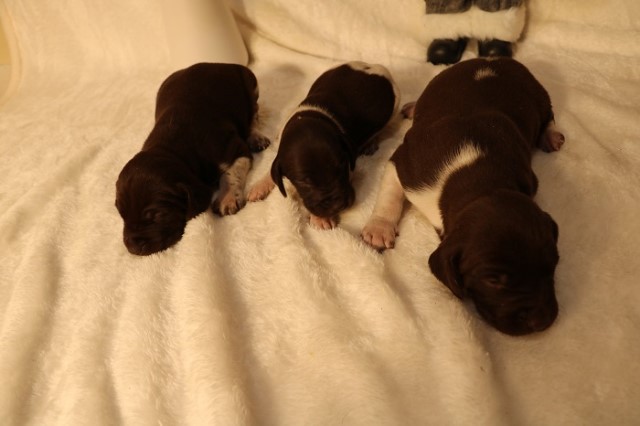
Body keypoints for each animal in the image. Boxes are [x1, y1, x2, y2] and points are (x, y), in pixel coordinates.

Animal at [115, 62, 270, 256]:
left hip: (251, 85)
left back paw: (256, 137)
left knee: (254, 116)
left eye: (157, 215)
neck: (170, 150)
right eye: (121, 214)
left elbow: (231, 173)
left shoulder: (234, 148)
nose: (133, 248)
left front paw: (227, 198)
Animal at [248, 61, 398, 228]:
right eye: (303, 182)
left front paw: (322, 218)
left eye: (342, 165)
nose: (338, 206)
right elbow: (272, 170)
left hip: (394, 108)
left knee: (383, 129)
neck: (308, 116)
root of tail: (373, 66)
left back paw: (371, 142)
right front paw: (260, 185)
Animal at [360, 57, 564, 336]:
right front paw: (379, 228)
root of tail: (494, 59)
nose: (541, 322)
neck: (481, 181)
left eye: (553, 264)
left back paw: (551, 135)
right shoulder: (406, 164)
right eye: (492, 280)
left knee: (549, 114)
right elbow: (389, 195)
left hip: (538, 96)